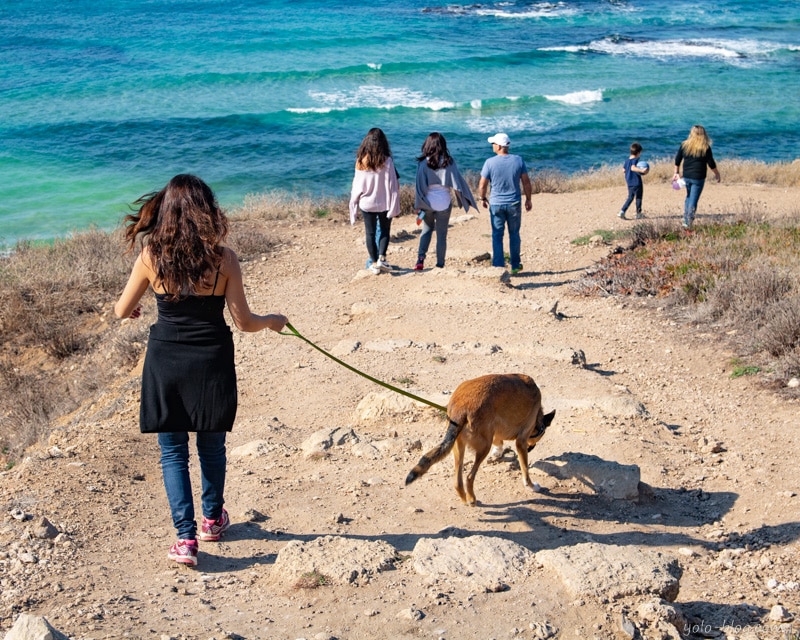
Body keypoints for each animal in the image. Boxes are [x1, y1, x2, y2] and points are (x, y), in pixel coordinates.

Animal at [404, 376, 552, 504]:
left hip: (459, 447)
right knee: (469, 477)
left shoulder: (495, 430)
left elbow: (499, 442)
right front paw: (532, 486)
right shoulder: (521, 441)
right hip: (483, 447)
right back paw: (472, 500)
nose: (531, 448)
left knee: (457, 482)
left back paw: (466, 500)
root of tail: (460, 407)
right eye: (539, 436)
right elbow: (525, 470)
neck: (538, 415)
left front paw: (498, 452)